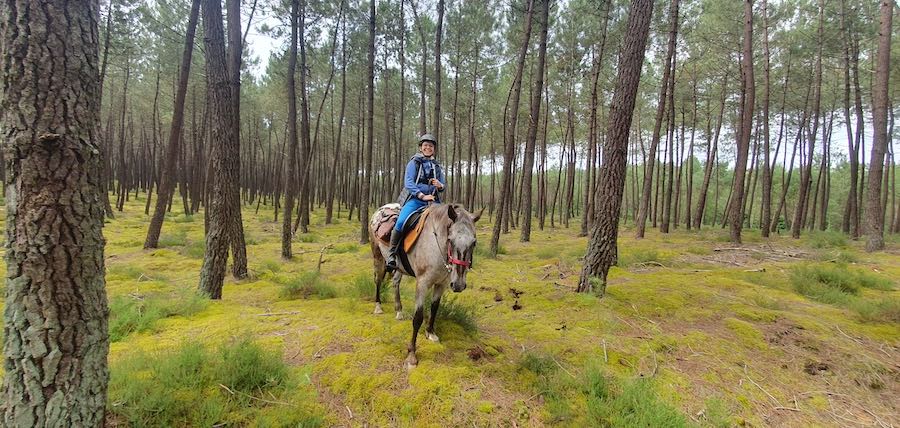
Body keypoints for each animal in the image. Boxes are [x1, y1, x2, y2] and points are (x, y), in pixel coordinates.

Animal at [368, 203, 482, 369]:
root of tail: (381, 209)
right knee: (378, 280)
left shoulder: (442, 284)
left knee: (395, 282)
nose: (459, 285)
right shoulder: (422, 283)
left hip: (399, 267)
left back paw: (399, 310)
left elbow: (434, 309)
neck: (437, 245)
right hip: (377, 255)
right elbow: (418, 318)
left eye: (474, 242)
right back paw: (378, 306)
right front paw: (411, 356)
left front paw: (431, 333)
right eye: (450, 239)